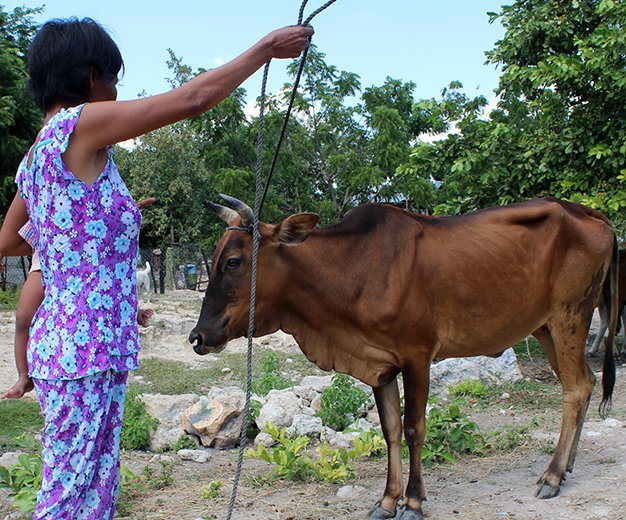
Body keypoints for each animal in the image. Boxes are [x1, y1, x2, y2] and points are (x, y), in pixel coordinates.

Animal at [189, 196, 616, 520]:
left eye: (233, 262)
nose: (198, 337)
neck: (354, 270)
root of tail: (593, 215)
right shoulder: (380, 366)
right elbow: (390, 429)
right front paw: (387, 500)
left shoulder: (417, 356)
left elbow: (413, 429)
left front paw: (412, 501)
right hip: (546, 328)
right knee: (584, 384)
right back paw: (568, 466)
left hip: (570, 317)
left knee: (575, 390)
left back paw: (553, 476)